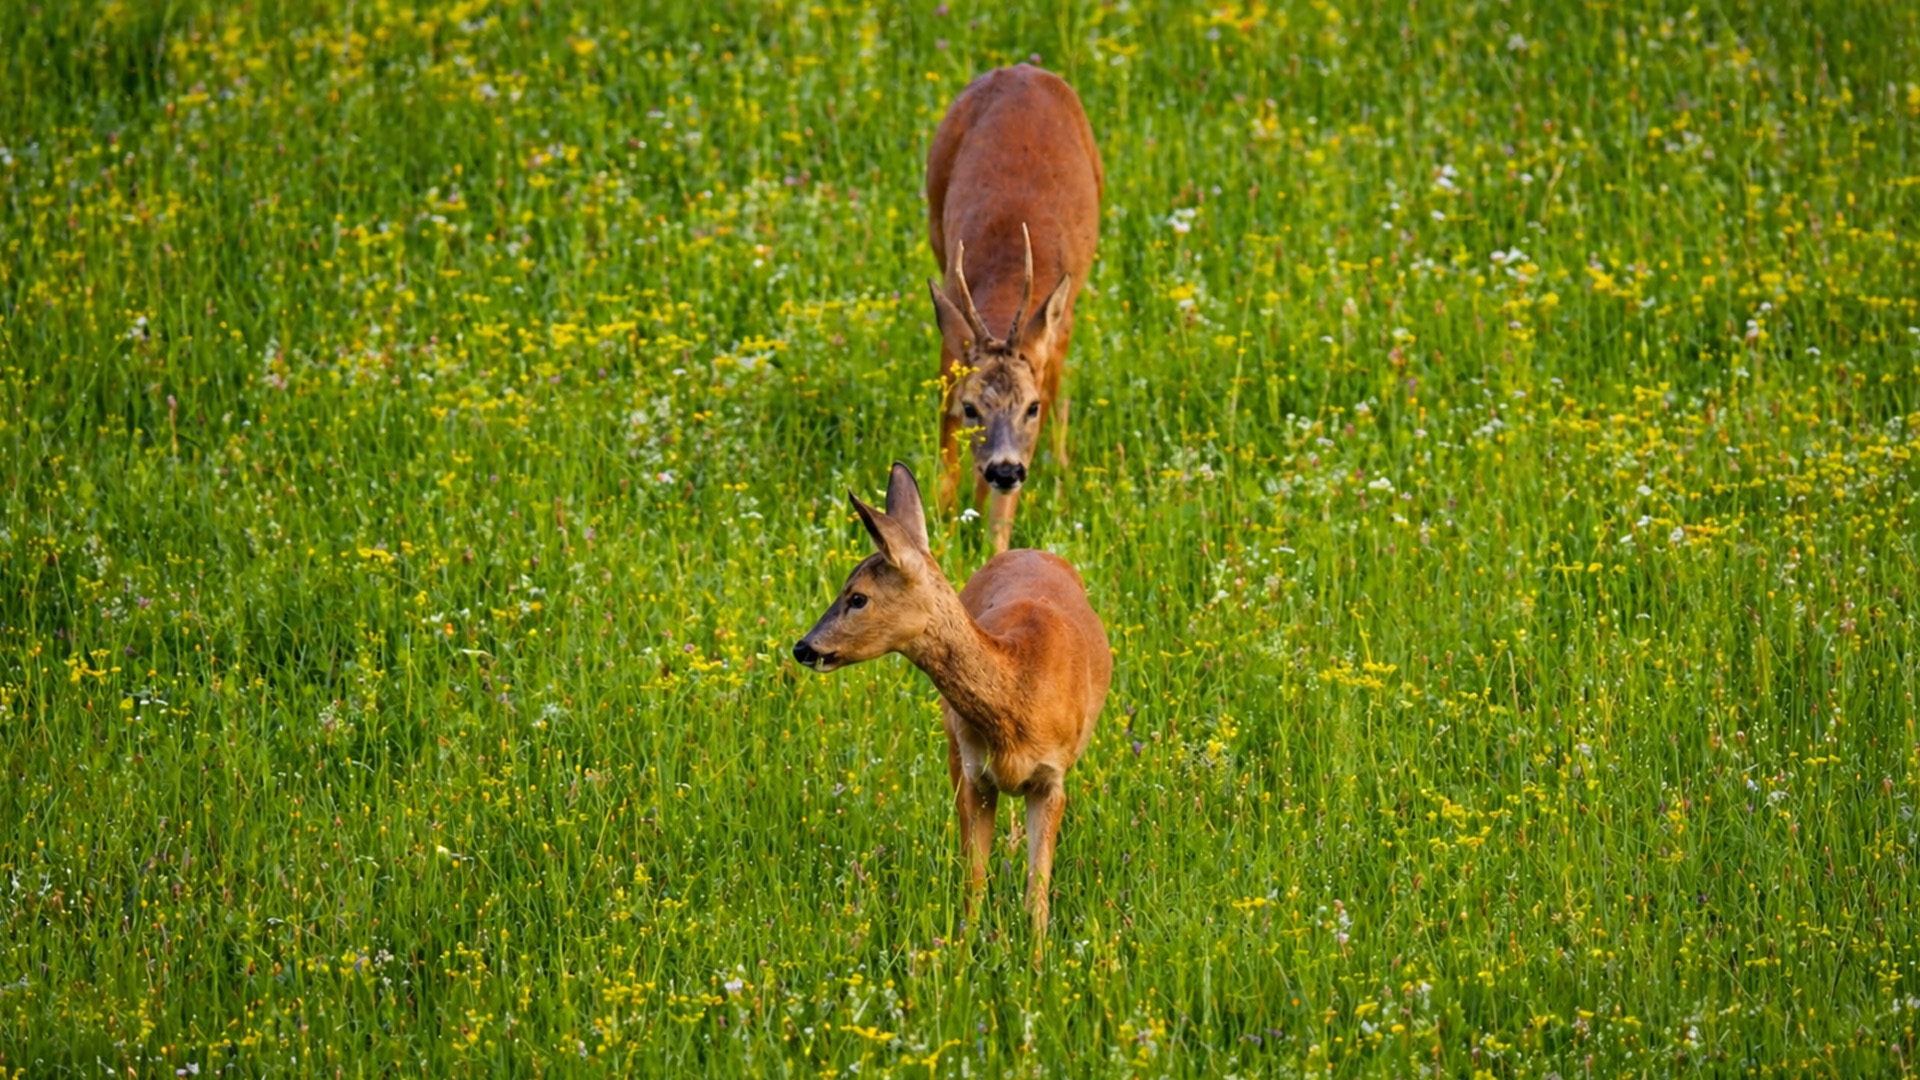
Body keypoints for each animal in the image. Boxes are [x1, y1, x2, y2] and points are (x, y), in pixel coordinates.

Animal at [793, 462, 1112, 941]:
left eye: (857, 597)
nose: (803, 647)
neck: (1020, 692)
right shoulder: (975, 774)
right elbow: (973, 880)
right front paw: (965, 948)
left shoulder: (1052, 778)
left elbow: (1036, 895)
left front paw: (1037, 957)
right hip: (952, 742)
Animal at [926, 64, 1104, 553]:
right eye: (972, 407)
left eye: (1030, 407)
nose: (1006, 470)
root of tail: (1024, 69)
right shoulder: (952, 351)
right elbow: (945, 477)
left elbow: (1000, 520)